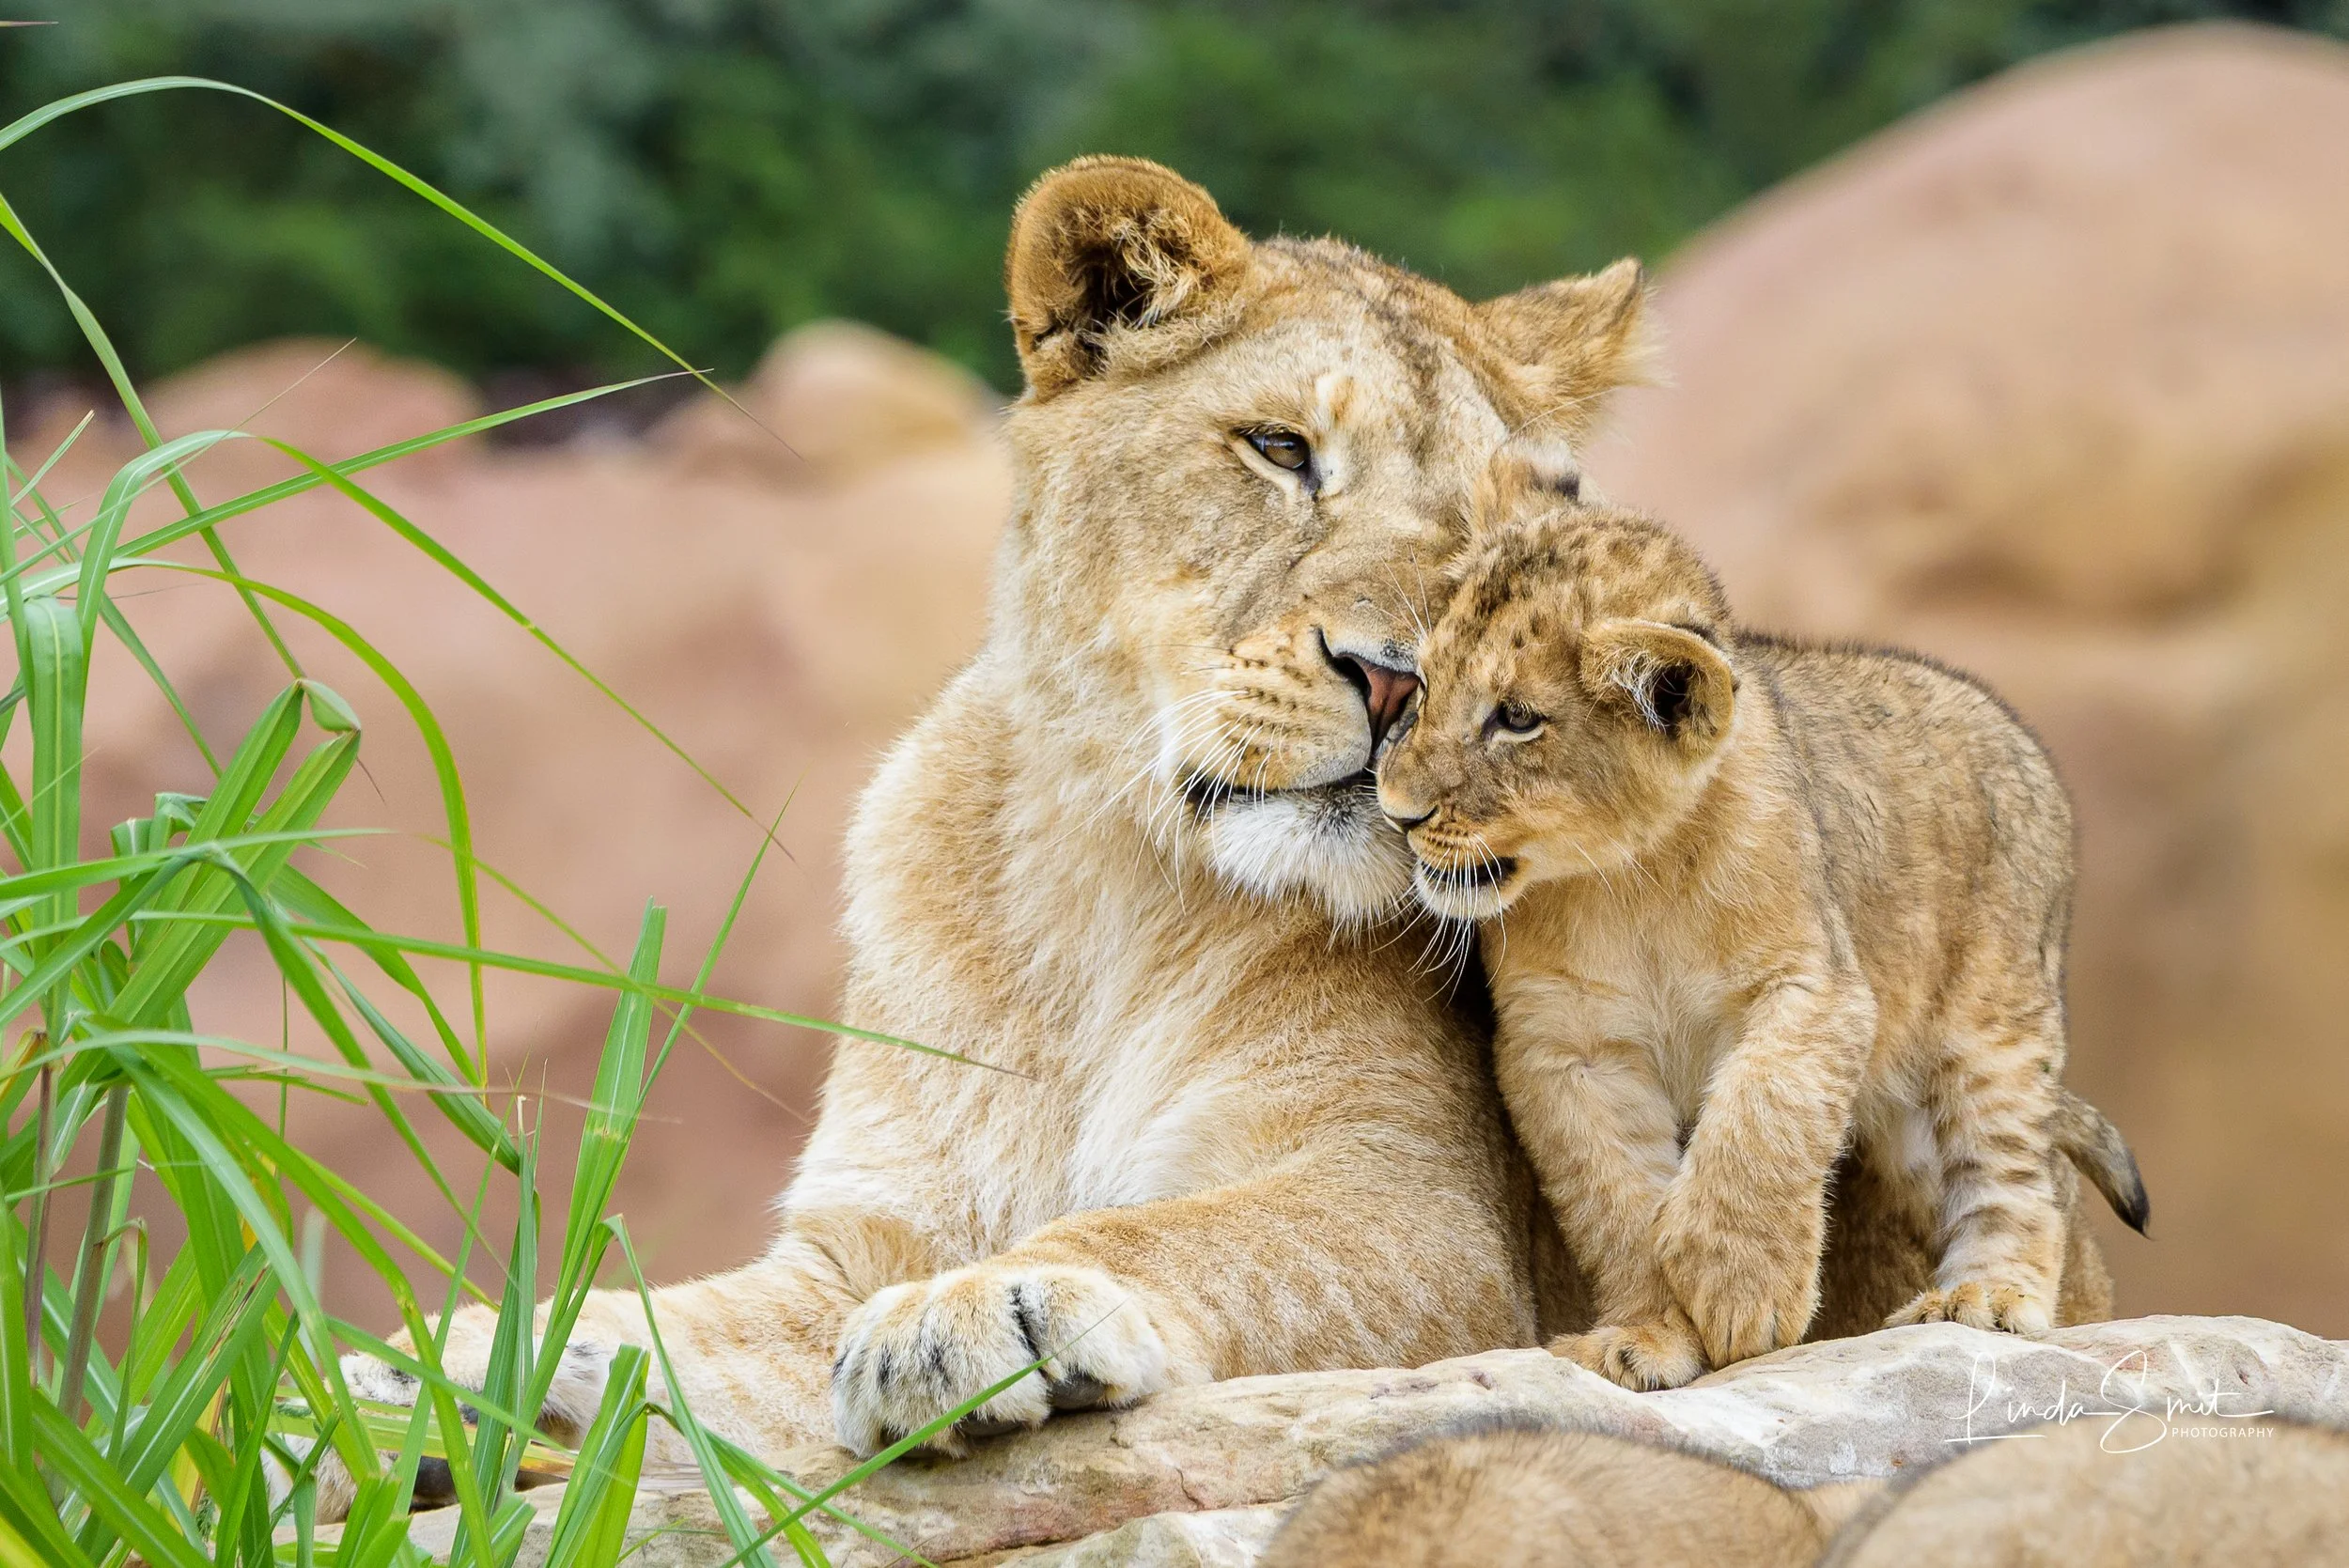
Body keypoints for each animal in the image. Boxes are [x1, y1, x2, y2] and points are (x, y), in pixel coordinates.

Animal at [1376, 460, 2146, 1390]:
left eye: (1516, 718)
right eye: (1422, 685)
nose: (1397, 810)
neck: (1629, 880)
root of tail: (2019, 733)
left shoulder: (1817, 988)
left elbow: (1762, 1114)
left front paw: (1741, 1285)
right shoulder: (1567, 1047)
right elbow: (1616, 1201)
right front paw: (1648, 1334)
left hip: (1990, 1026)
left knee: (2021, 1175)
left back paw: (1988, 1297)